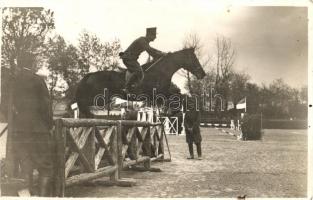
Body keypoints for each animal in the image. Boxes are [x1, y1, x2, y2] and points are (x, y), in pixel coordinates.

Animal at [75, 47, 205, 118]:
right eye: (194, 59)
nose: (203, 74)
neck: (161, 72)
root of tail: (90, 75)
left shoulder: (161, 95)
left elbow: (178, 96)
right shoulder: (159, 95)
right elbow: (178, 97)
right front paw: (174, 111)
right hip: (100, 98)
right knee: (82, 102)